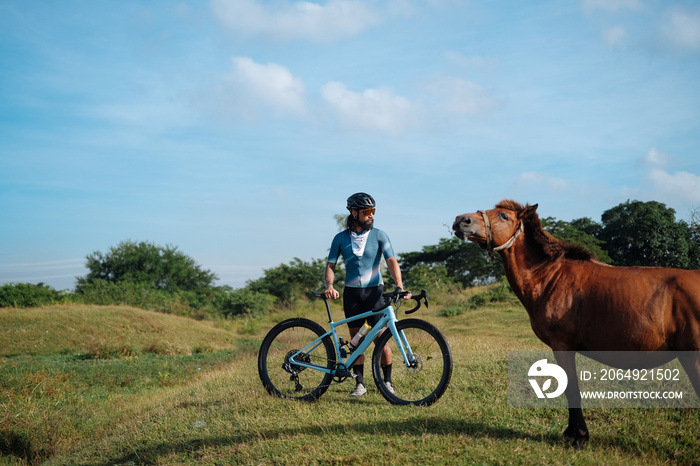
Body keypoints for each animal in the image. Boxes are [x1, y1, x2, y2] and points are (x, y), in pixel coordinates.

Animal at [452, 199, 696, 448]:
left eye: (503, 215)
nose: (461, 220)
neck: (549, 277)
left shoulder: (562, 346)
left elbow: (571, 388)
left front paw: (578, 435)